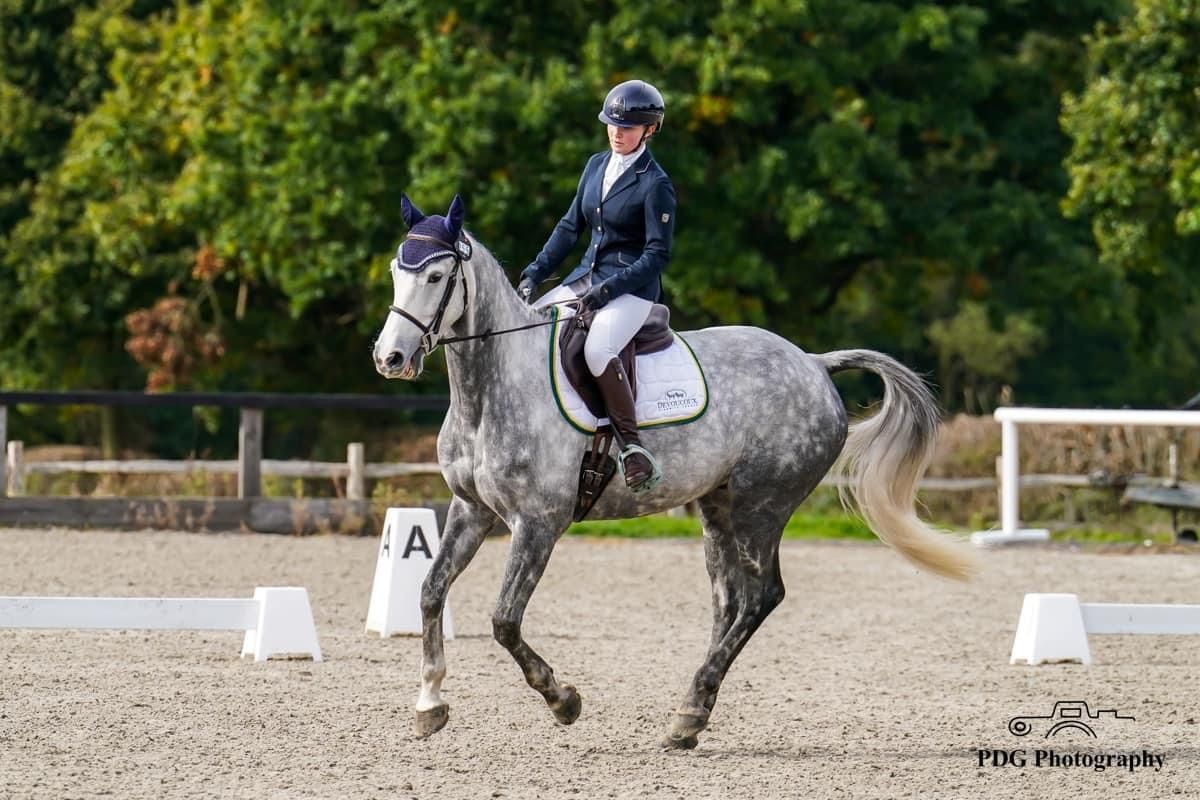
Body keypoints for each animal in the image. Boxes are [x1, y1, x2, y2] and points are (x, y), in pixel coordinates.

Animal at [372, 194, 974, 753]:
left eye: (435, 275)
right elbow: (429, 592)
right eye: (397, 273)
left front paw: (563, 700)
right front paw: (429, 702)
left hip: (763, 506)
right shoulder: (471, 510)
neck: (490, 391)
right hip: (717, 506)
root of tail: (812, 362)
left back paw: (689, 709)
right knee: (729, 602)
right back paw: (692, 714)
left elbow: (503, 620)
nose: (390, 359)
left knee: (761, 596)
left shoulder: (538, 523)